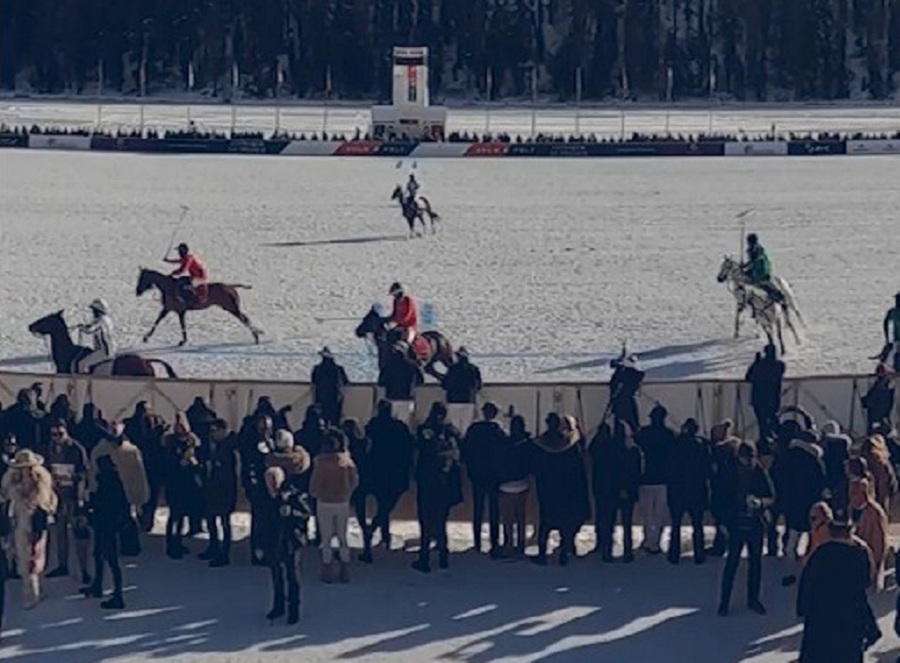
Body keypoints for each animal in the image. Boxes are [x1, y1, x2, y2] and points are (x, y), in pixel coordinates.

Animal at [135, 268, 264, 348]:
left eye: (142, 279)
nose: (137, 292)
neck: (168, 287)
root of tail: (230, 286)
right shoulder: (168, 309)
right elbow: (158, 321)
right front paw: (146, 337)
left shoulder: (179, 310)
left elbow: (180, 325)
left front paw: (183, 341)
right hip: (231, 308)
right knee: (245, 318)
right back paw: (257, 335)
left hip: (232, 308)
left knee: (245, 319)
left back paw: (256, 336)